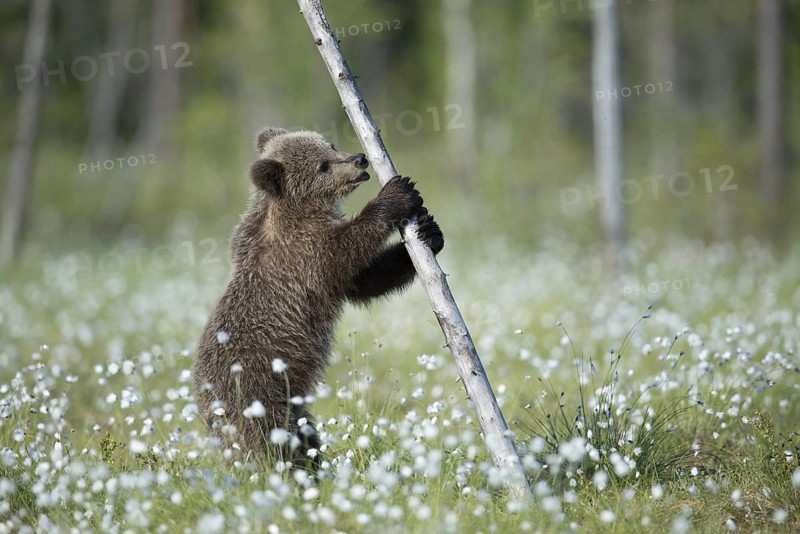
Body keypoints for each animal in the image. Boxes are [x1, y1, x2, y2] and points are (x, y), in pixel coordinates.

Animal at [193, 127, 444, 471]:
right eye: (322, 165)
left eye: (331, 145)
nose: (359, 158)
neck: (297, 210)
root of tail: (204, 401)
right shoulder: (303, 253)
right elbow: (344, 252)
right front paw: (396, 195)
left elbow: (363, 279)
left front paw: (429, 233)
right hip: (256, 391)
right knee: (268, 441)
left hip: (291, 405)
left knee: (303, 435)